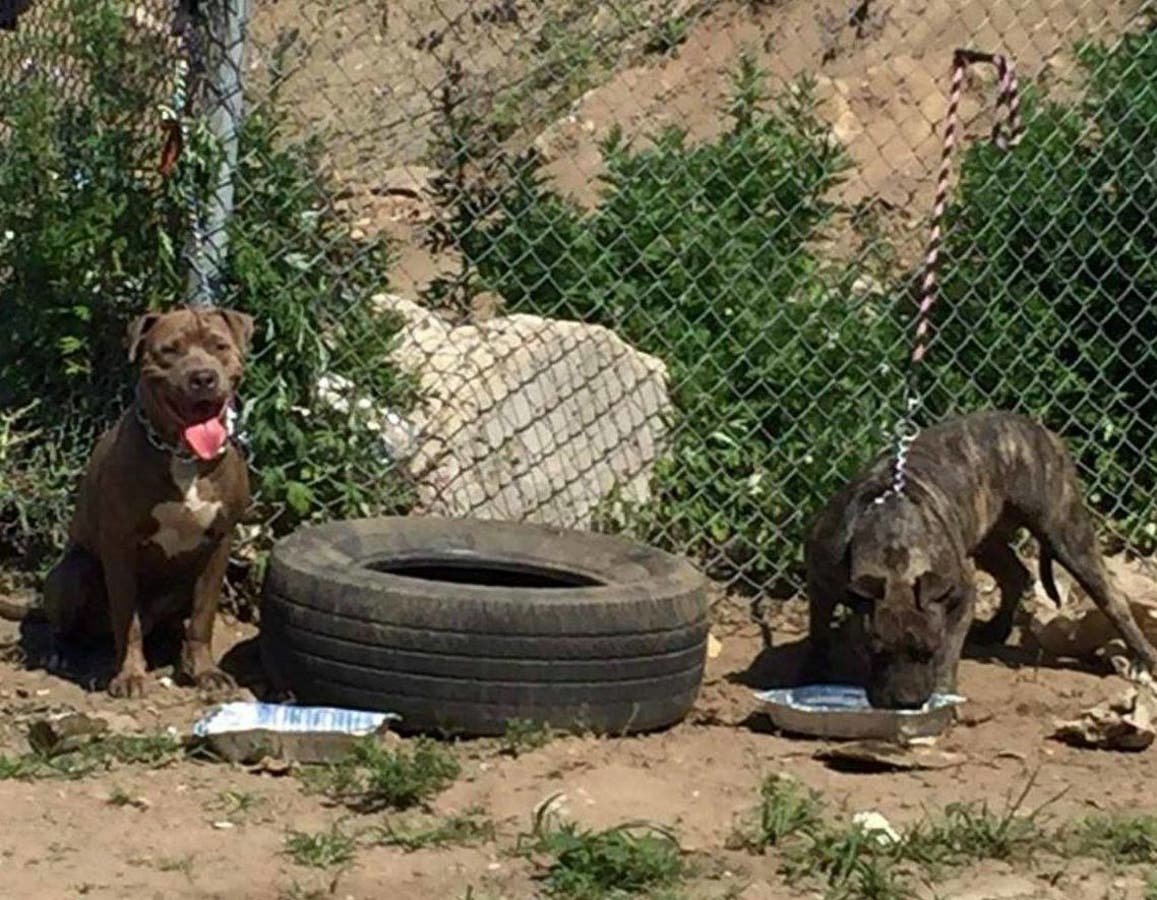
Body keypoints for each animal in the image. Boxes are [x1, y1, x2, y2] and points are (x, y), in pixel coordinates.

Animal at [42, 307, 253, 698]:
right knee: (68, 624)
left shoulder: (220, 542)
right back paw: (60, 653)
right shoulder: (120, 543)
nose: (203, 377)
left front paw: (205, 671)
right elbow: (128, 619)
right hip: (74, 571)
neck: (182, 453)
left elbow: (203, 616)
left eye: (219, 346)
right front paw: (129, 675)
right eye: (169, 350)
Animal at [803, 409, 1157, 709]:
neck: (895, 547)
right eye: (874, 650)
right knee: (1015, 574)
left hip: (1067, 536)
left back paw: (1143, 659)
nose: (906, 702)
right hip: (988, 541)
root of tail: (1043, 431)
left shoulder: (960, 594)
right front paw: (813, 674)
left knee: (1111, 598)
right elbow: (818, 635)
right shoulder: (821, 584)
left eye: (928, 650)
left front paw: (943, 694)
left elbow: (949, 653)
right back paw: (995, 630)